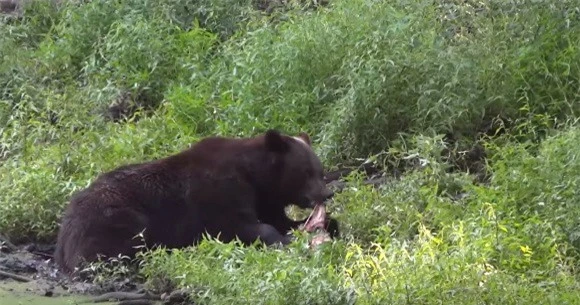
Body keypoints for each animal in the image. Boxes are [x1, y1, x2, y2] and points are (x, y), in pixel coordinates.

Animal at [53, 128, 338, 274]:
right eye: (306, 172)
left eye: (320, 170)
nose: (326, 193)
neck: (256, 177)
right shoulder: (219, 192)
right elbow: (239, 226)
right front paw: (283, 239)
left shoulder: (265, 199)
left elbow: (280, 219)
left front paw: (324, 225)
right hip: (114, 215)